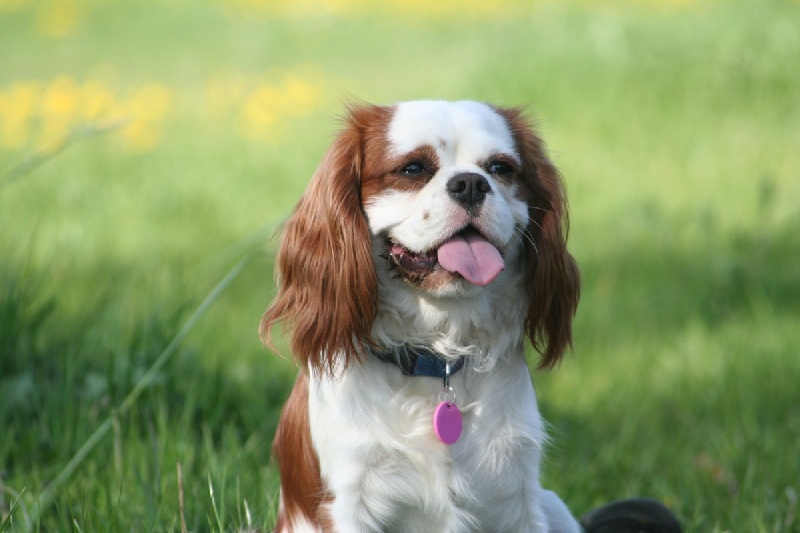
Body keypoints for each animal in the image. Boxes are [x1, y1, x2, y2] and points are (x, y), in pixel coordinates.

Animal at [262, 101, 580, 532]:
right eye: (413, 168)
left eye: (500, 168)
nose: (471, 183)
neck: (438, 353)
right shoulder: (349, 501)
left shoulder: (519, 499)